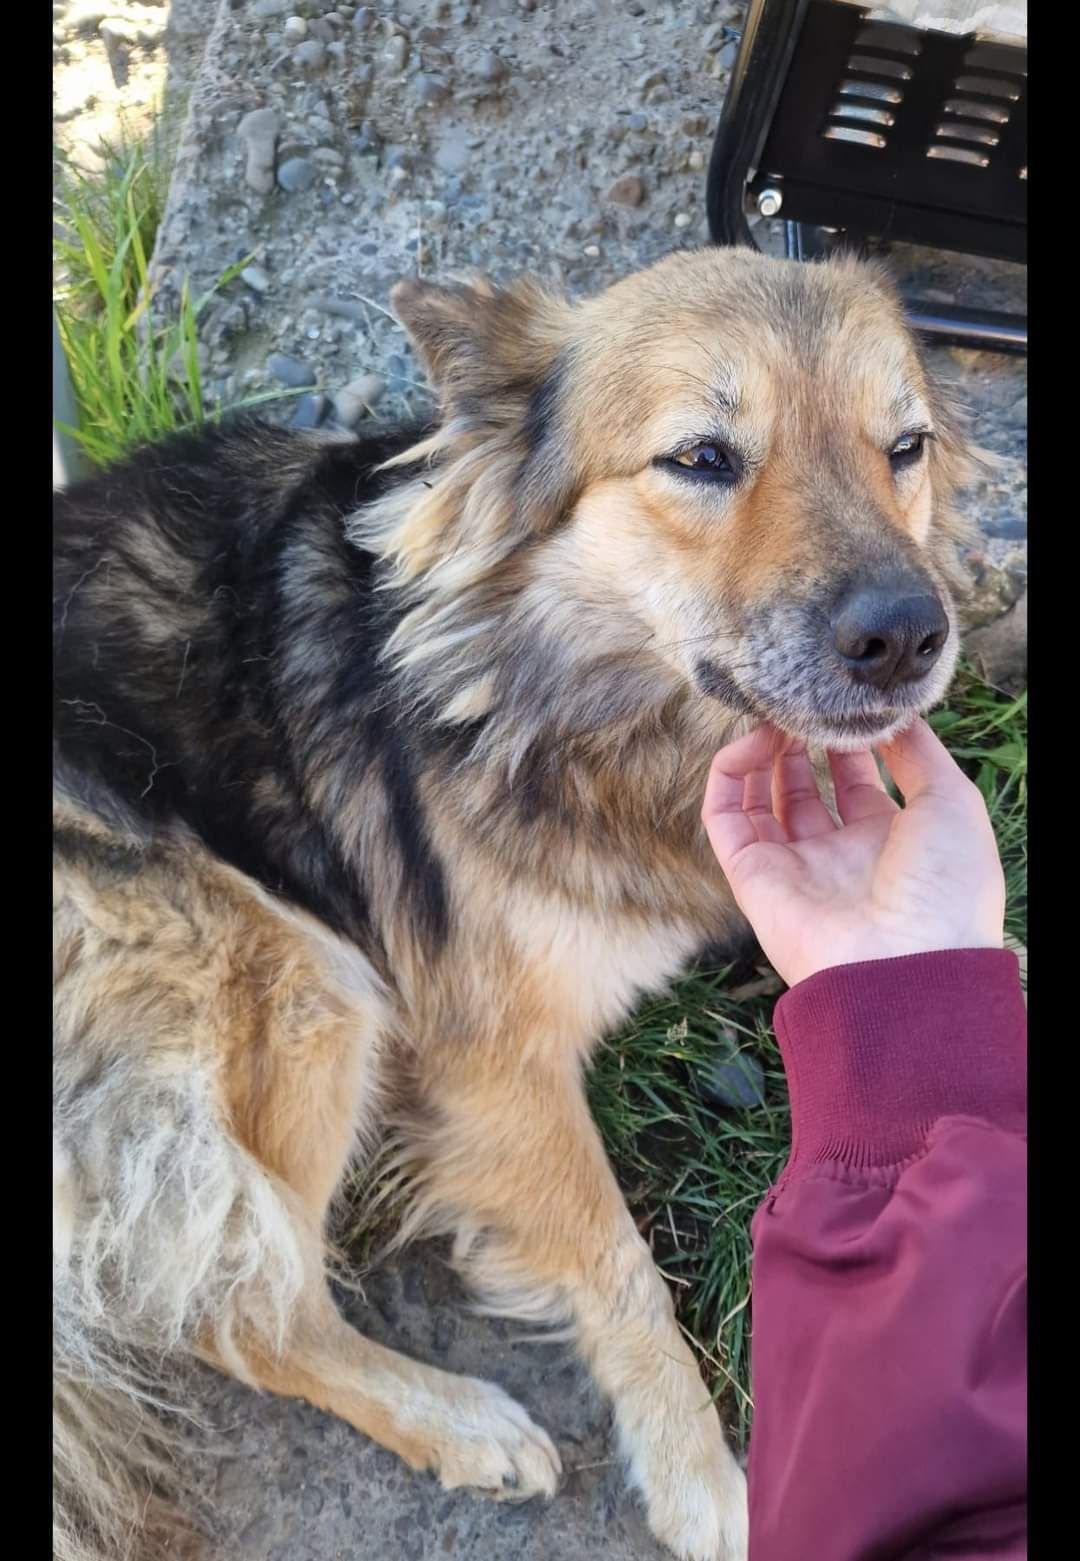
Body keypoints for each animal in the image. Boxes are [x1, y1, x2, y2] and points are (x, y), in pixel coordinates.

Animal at [55, 243, 973, 1561]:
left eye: (904, 446)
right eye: (703, 457)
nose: (907, 635)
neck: (547, 685)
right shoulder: (489, 1059)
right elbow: (618, 1265)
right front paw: (703, 1481)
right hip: (299, 968)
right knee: (229, 1307)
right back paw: (459, 1423)